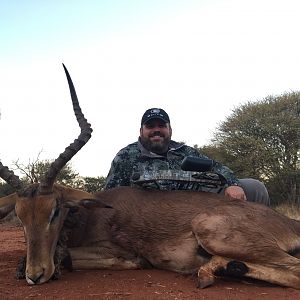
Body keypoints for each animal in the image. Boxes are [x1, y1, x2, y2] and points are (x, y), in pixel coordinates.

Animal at [0, 66, 300, 288]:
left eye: (55, 211)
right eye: (20, 216)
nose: (35, 275)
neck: (89, 217)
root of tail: (289, 222)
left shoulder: (119, 252)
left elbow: (78, 258)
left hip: (211, 230)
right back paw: (219, 270)